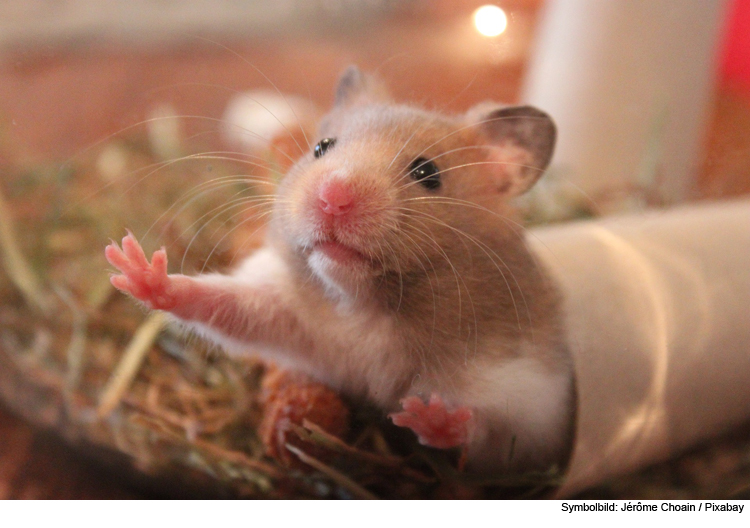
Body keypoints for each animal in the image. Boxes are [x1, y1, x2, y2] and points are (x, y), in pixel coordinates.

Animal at [104, 66, 576, 474]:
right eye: (322, 147)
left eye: (428, 172)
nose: (333, 196)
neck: (366, 306)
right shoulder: (291, 316)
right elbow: (222, 303)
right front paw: (136, 268)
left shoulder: (530, 394)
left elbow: (489, 427)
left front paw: (426, 415)